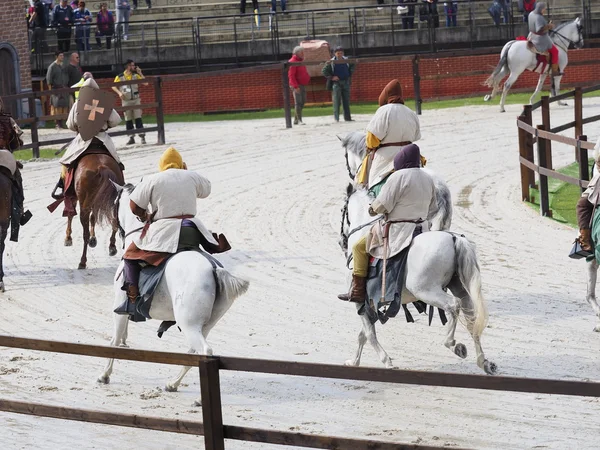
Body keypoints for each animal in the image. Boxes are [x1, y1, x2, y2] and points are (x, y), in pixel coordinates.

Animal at [98, 185, 248, 402]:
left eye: (116, 203)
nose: (116, 231)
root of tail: (214, 269)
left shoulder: (119, 310)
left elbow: (114, 342)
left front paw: (105, 375)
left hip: (189, 324)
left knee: (205, 351)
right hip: (204, 326)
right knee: (194, 353)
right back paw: (173, 384)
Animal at [340, 183, 494, 376]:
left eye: (343, 210)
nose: (342, 242)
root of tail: (453, 238)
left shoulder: (360, 302)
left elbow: (369, 334)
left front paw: (387, 361)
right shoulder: (370, 303)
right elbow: (363, 335)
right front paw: (354, 362)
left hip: (426, 291)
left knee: (453, 305)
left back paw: (453, 345)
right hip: (460, 288)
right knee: (471, 318)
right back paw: (484, 361)